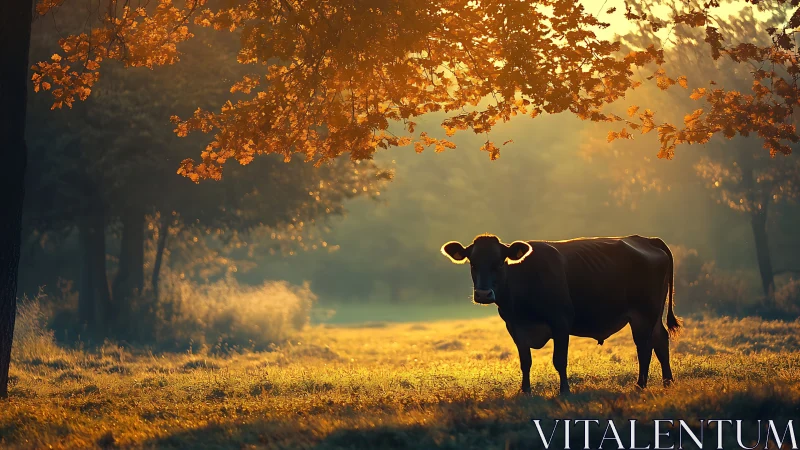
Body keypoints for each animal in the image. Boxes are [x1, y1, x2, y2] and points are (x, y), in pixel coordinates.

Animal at [441, 234, 682, 395]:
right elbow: (525, 361)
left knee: (644, 347)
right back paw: (667, 381)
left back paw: (641, 385)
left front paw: (564, 390)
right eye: (472, 263)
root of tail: (645, 239)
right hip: (652, 315)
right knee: (660, 340)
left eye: (500, 262)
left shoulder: (561, 321)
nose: (483, 294)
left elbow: (559, 359)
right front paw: (525, 391)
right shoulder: (515, 326)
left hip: (644, 313)